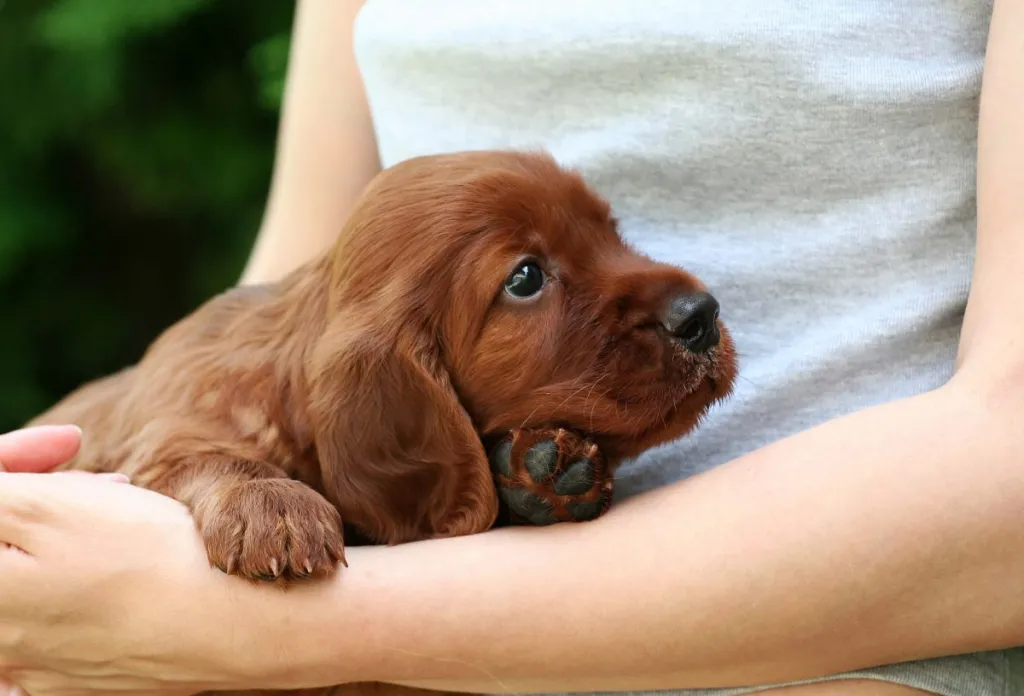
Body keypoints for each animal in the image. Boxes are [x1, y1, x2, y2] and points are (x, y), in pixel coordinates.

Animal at [32, 150, 737, 696]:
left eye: (610, 232)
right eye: (525, 278)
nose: (700, 314)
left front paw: (550, 467)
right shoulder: (161, 434)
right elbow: (204, 456)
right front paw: (272, 506)